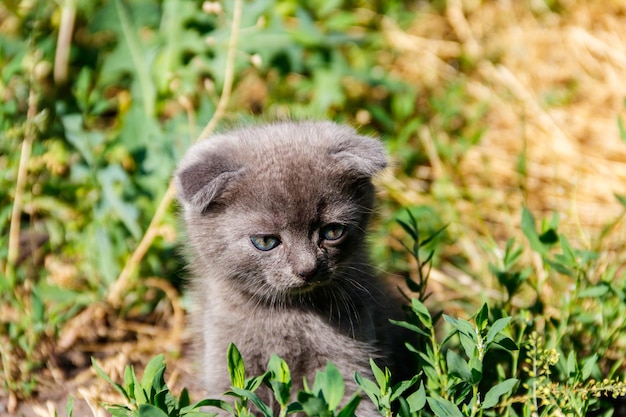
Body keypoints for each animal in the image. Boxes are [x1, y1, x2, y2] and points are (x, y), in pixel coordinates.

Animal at [176, 119, 408, 412]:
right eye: (265, 241)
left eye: (332, 232)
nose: (307, 269)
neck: (288, 315)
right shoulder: (225, 364)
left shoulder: (349, 363)